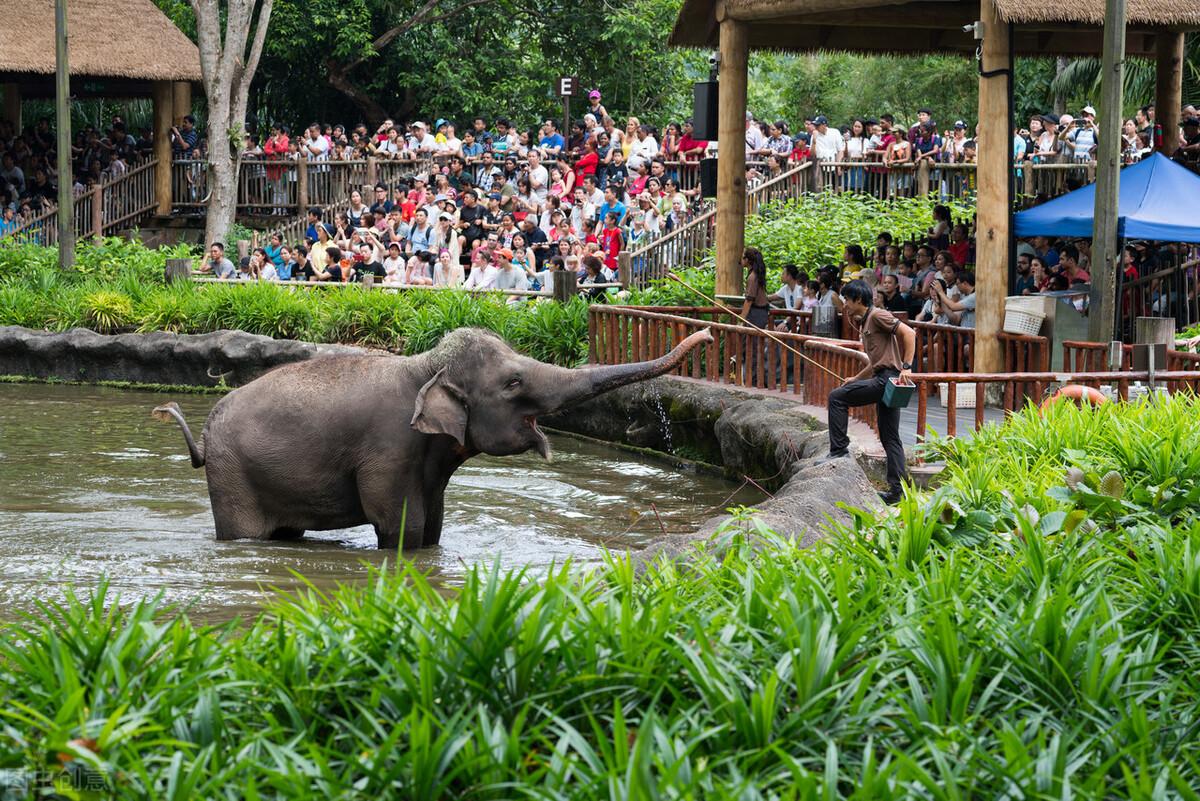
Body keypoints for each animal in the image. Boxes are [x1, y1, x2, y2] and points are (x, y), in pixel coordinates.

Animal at [150, 328, 710, 546]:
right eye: (513, 383)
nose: (705, 334)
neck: (423, 366)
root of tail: (205, 434)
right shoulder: (389, 449)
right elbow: (401, 524)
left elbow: (433, 526)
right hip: (233, 477)